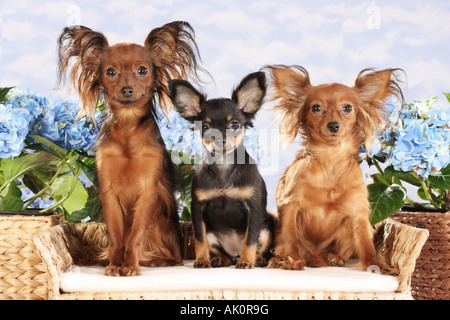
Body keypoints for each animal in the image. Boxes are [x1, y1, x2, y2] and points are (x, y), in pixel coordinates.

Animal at [58, 21, 202, 278]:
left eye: (142, 71)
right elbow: (117, 236)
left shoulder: (148, 192)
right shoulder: (109, 192)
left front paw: (131, 266)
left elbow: (134, 236)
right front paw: (116, 265)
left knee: (171, 257)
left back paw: (154, 260)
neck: (127, 126)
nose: (126, 89)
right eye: (110, 72)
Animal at [170, 72, 272, 268]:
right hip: (214, 236)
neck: (224, 165)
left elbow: (250, 239)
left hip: (266, 230)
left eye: (234, 124)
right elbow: (200, 239)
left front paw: (247, 262)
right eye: (205, 127)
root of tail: (234, 253)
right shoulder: (198, 209)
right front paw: (202, 260)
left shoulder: (254, 209)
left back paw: (256, 259)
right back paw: (219, 259)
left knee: (258, 245)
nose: (220, 139)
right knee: (219, 250)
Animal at [266, 65, 402, 272]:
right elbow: (290, 239)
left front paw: (377, 265)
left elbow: (366, 245)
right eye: (316, 108)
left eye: (347, 108)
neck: (331, 158)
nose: (333, 125)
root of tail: (315, 255)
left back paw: (334, 258)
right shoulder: (290, 204)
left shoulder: (358, 213)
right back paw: (280, 259)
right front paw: (292, 260)